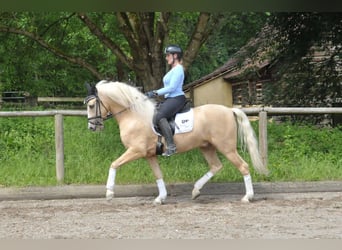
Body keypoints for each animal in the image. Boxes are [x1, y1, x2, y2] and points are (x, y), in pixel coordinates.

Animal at [84, 80, 268, 205]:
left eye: (92, 105)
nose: (92, 127)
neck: (134, 115)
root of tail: (229, 110)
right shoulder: (149, 155)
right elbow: (158, 175)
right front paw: (160, 198)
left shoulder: (136, 150)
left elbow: (114, 164)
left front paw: (109, 193)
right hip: (206, 147)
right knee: (216, 166)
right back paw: (195, 191)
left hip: (227, 147)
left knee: (243, 166)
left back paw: (247, 197)